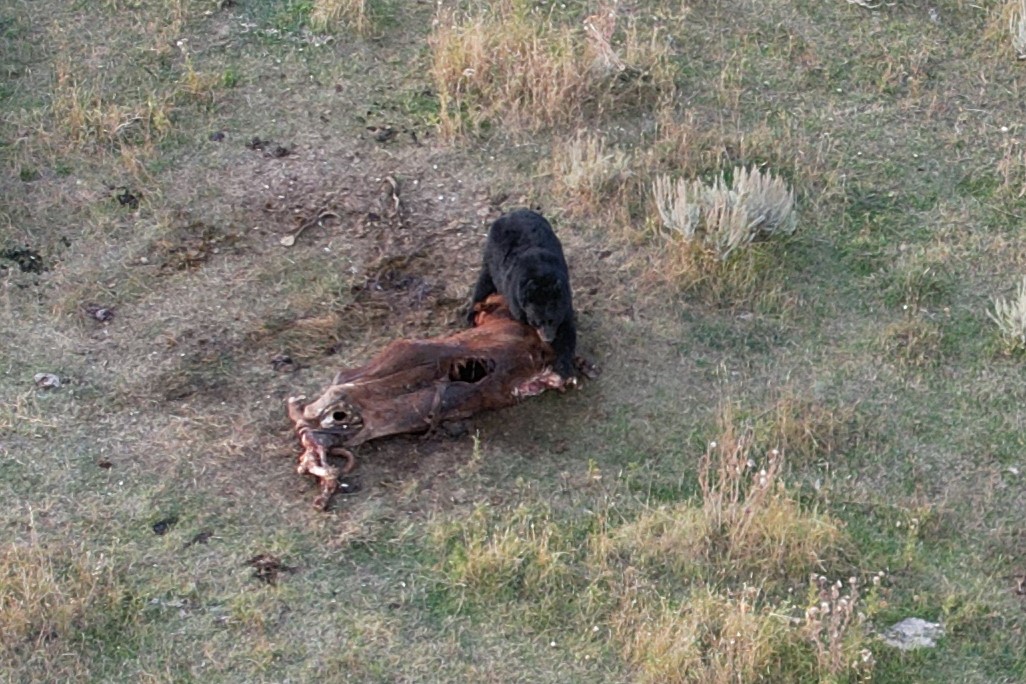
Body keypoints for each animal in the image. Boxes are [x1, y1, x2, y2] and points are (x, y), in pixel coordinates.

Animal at [467, 209, 577, 380]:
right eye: (536, 322)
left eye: (552, 320)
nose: (548, 337)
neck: (541, 277)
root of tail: (511, 213)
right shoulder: (517, 303)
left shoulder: (564, 300)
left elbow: (568, 331)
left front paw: (564, 366)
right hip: (491, 259)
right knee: (484, 283)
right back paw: (470, 316)